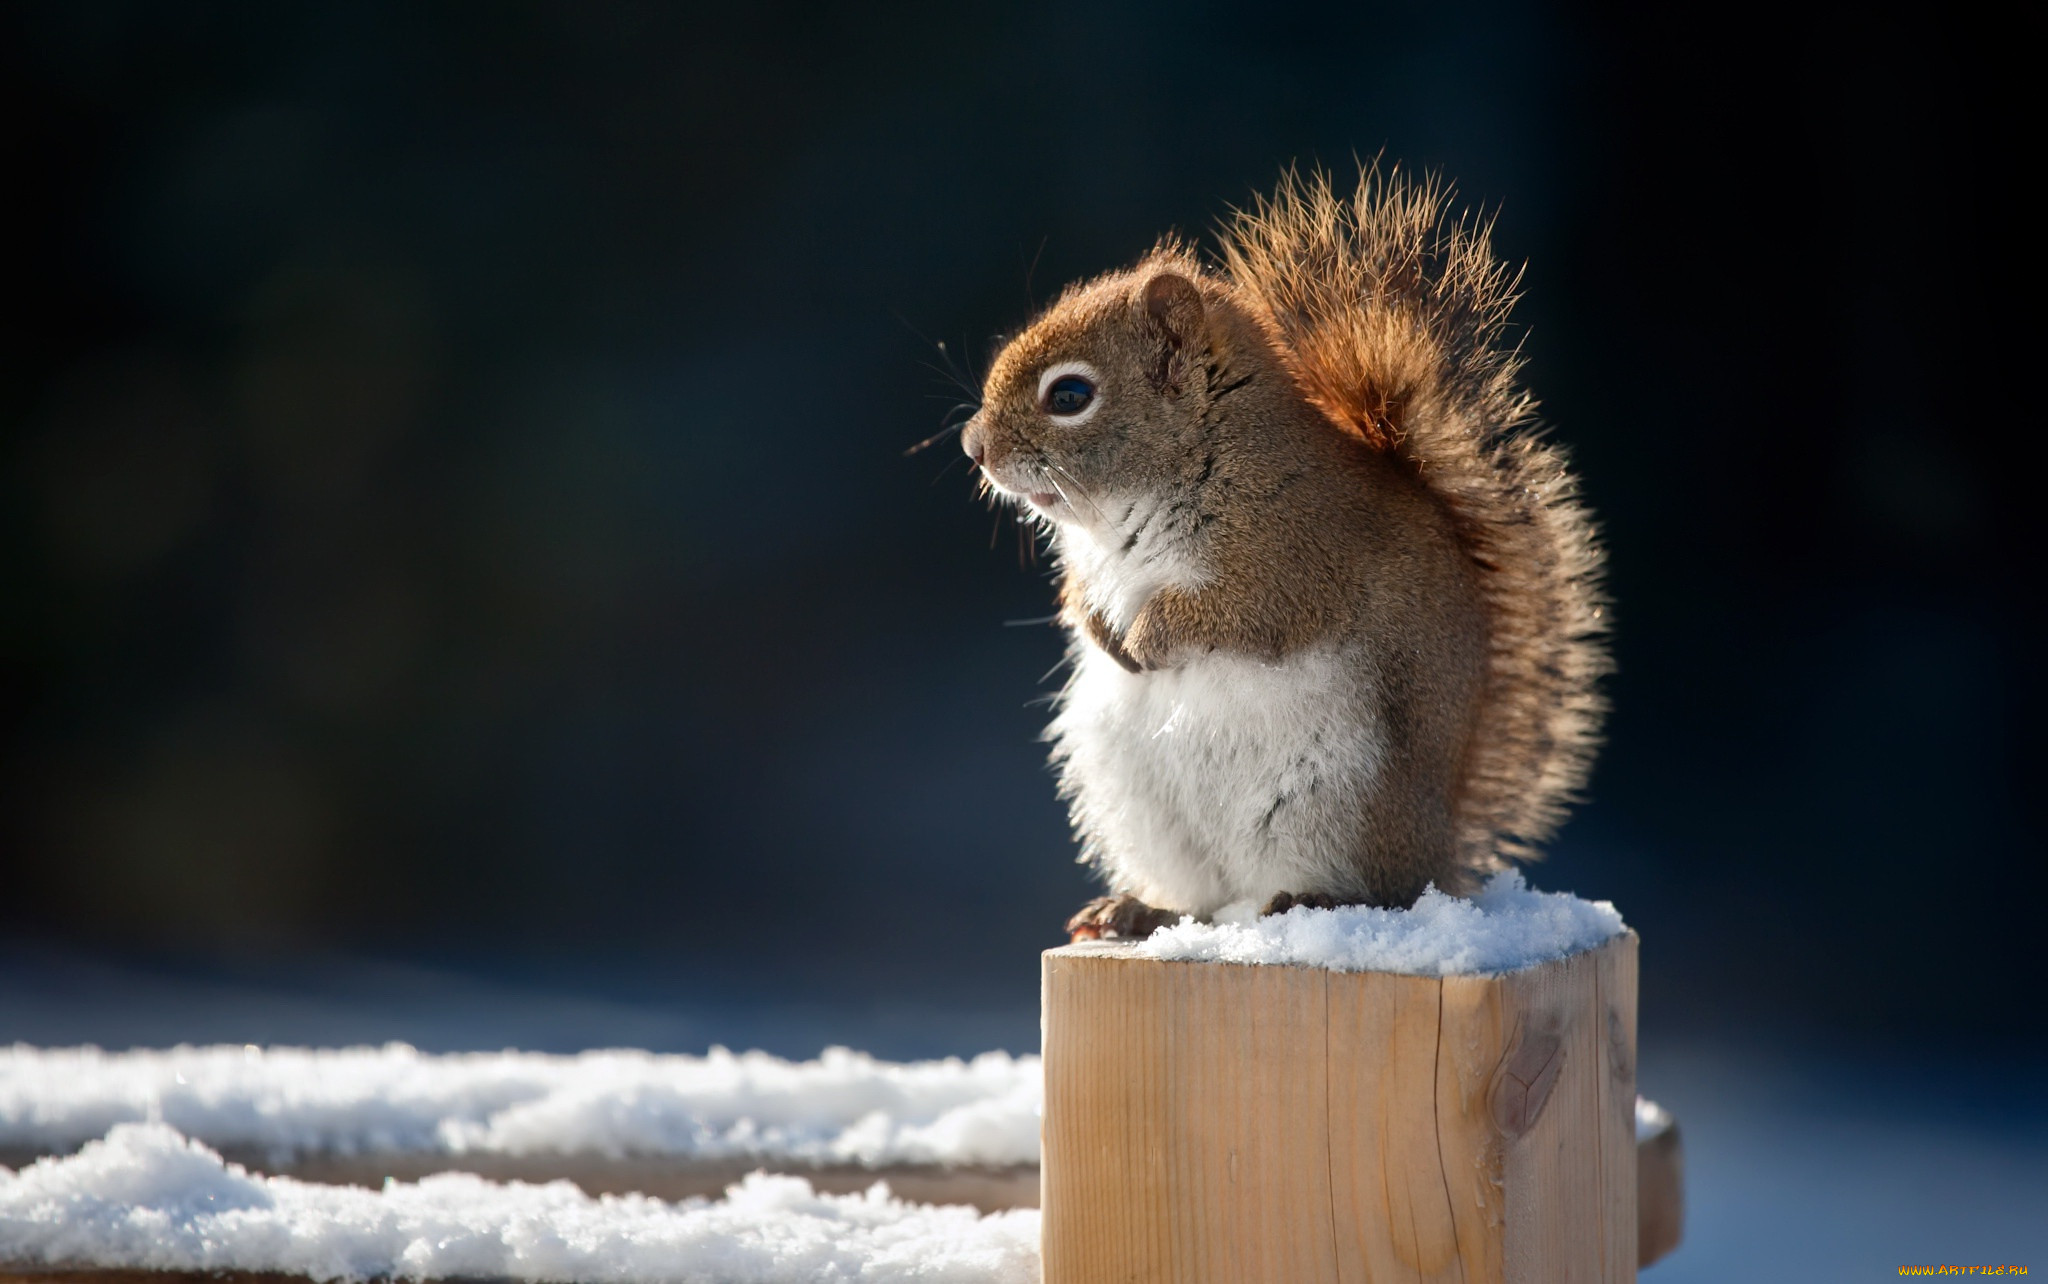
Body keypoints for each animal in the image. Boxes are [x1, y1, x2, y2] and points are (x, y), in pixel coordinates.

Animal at [958, 165, 1613, 937]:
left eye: (1069, 395)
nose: (973, 447)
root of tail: (1441, 856)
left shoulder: (1297, 557)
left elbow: (1242, 615)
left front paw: (1147, 638)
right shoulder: (1093, 566)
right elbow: (1079, 600)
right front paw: (1103, 632)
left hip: (1344, 806)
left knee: (1375, 892)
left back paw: (1311, 901)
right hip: (1142, 809)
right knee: (1199, 900)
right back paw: (1136, 910)